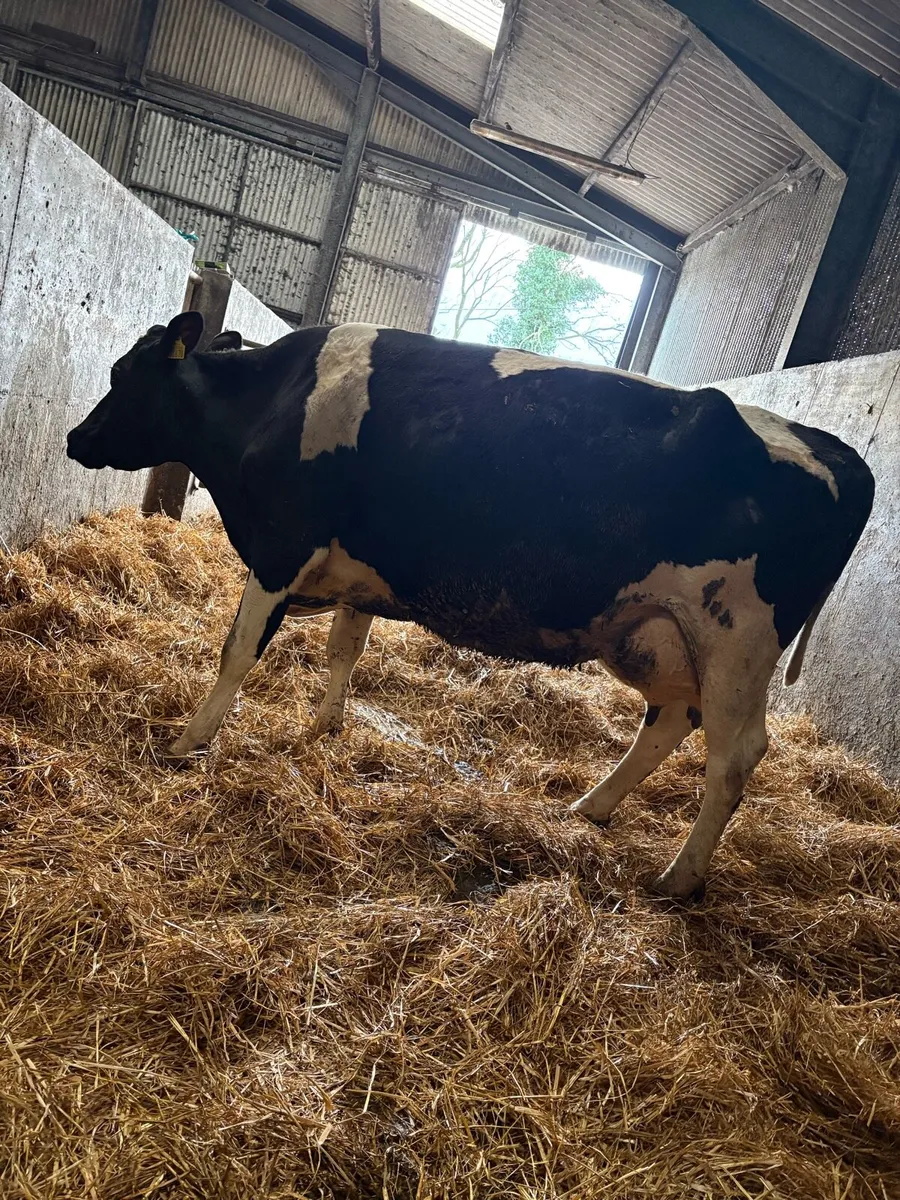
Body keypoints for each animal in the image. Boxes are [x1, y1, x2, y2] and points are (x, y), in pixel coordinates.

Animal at [66, 312, 874, 899]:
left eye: (122, 374)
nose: (76, 438)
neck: (274, 402)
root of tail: (835, 449)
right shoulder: (360, 568)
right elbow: (344, 647)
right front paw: (321, 727)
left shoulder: (281, 547)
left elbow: (237, 650)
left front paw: (187, 742)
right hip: (659, 635)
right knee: (672, 721)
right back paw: (591, 808)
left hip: (737, 638)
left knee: (735, 755)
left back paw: (679, 877)